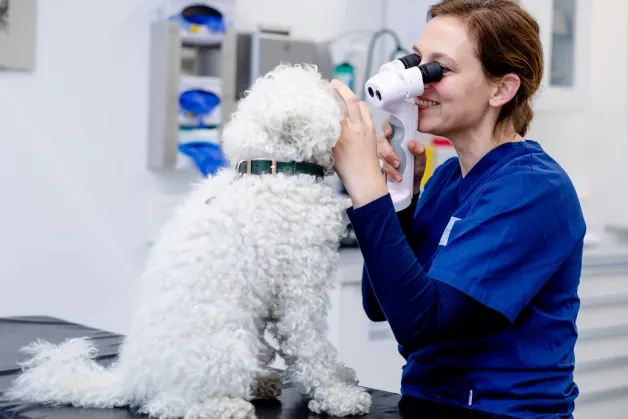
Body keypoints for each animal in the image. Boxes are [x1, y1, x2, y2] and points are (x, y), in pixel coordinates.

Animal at [4, 64, 372, 418]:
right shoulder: (300, 292)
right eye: (329, 91)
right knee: (167, 404)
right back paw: (224, 407)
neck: (273, 169)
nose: (352, 91)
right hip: (227, 346)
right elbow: (313, 349)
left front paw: (342, 380)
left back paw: (261, 383)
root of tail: (132, 379)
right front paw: (338, 396)